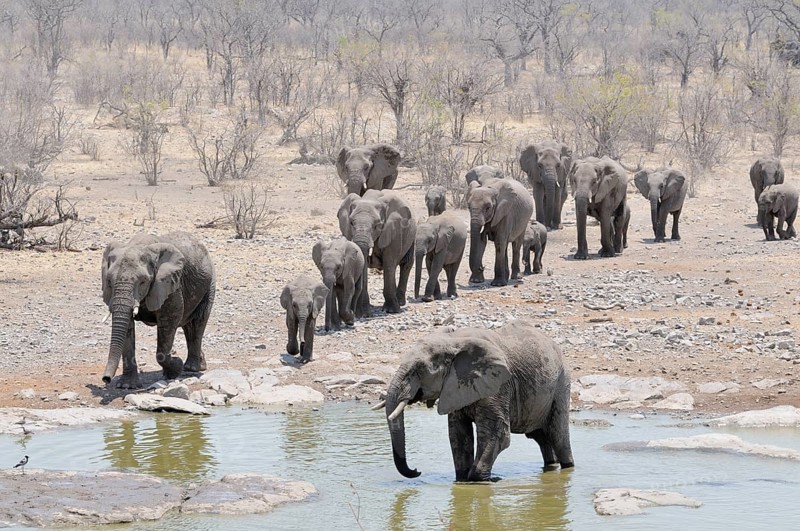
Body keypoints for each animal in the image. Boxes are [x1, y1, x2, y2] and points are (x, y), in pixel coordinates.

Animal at [100, 232, 215, 389]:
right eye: (109, 282)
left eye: (143, 281)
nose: (106, 379)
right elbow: (127, 328)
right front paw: (127, 386)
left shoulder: (170, 284)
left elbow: (170, 320)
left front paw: (176, 366)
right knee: (188, 325)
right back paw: (199, 364)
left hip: (209, 284)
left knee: (197, 323)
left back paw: (191, 368)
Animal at [378, 320, 573, 481]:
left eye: (418, 369)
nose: (417, 471)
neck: (454, 340)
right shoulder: (455, 386)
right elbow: (458, 434)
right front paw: (462, 479)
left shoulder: (498, 384)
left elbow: (498, 433)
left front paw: (483, 479)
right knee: (540, 436)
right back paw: (550, 466)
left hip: (561, 383)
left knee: (557, 434)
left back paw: (567, 467)